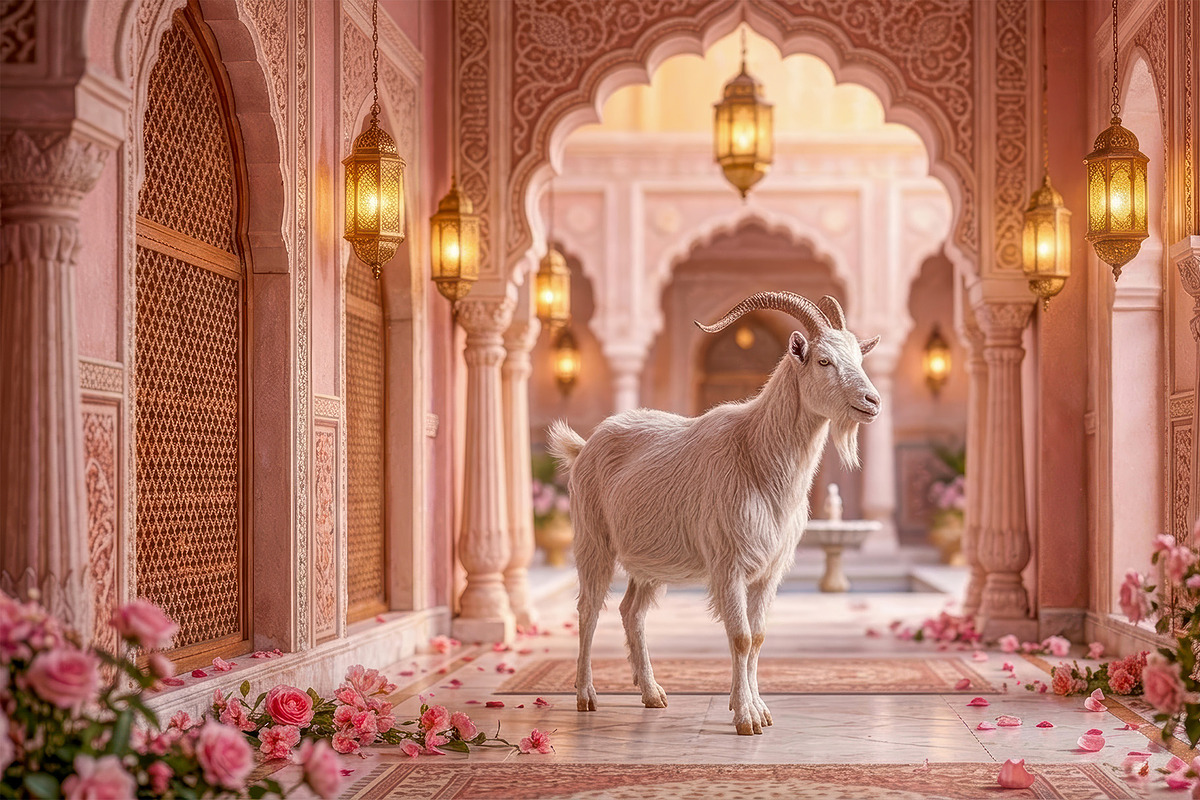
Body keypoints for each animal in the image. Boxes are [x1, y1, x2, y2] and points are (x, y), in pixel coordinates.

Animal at [547, 291, 881, 736]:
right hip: (592, 539)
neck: (757, 455)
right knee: (588, 610)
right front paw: (746, 718)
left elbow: (758, 637)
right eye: (824, 361)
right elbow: (740, 637)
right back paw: (586, 696)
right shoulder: (729, 564)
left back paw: (652, 693)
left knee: (631, 612)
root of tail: (584, 446)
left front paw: (759, 709)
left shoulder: (769, 571)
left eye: (859, 359)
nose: (872, 401)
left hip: (649, 561)